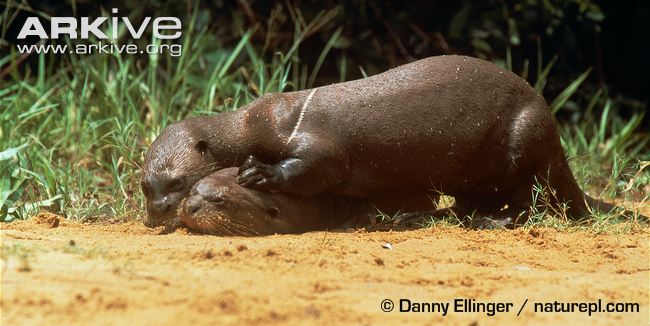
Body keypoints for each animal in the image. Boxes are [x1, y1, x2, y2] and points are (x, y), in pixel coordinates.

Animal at [139, 54, 640, 233]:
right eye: (147, 185)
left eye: (178, 181)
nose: (157, 213)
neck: (269, 121)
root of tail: (552, 124)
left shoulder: (320, 145)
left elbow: (310, 171)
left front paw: (258, 172)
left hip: (521, 140)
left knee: (523, 200)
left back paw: (489, 223)